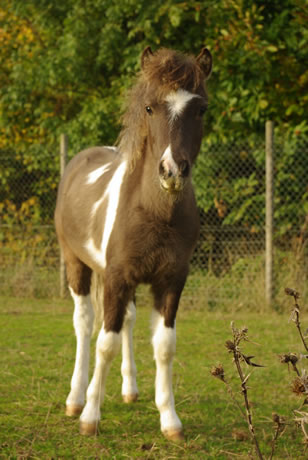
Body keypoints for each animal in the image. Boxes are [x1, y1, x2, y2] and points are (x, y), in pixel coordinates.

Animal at [54, 46, 212, 442]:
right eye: (150, 107)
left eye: (201, 109)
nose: (172, 171)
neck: (154, 213)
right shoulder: (117, 277)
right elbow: (105, 343)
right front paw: (90, 417)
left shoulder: (170, 280)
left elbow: (164, 345)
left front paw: (170, 420)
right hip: (76, 264)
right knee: (84, 324)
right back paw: (75, 398)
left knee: (126, 319)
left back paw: (129, 390)